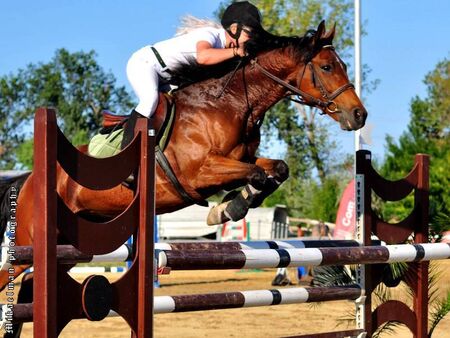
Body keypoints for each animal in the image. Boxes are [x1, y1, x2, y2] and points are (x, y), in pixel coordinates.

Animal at [0, 21, 366, 298]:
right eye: (327, 67)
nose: (359, 115)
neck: (232, 104)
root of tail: (29, 179)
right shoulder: (200, 174)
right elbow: (257, 176)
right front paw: (227, 209)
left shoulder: (241, 160)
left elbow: (276, 169)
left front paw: (228, 208)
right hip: (28, 244)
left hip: (67, 246)